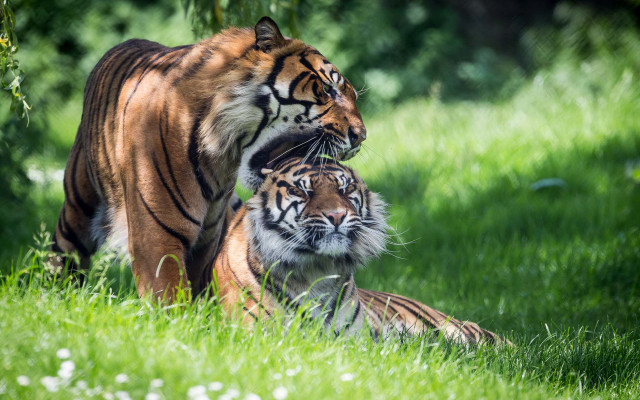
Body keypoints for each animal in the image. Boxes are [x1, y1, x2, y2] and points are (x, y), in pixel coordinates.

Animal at [49, 17, 366, 301]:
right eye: (327, 90)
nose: (361, 136)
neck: (220, 156)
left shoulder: (207, 238)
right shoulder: (156, 237)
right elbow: (170, 297)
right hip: (78, 204)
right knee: (64, 252)